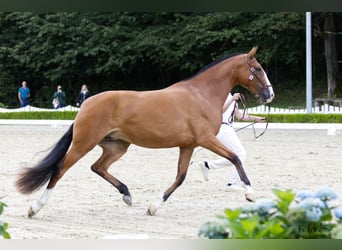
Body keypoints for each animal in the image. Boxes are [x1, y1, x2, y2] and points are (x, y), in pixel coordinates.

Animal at [15, 47, 276, 217]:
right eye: (257, 68)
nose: (270, 94)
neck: (201, 94)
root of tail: (86, 104)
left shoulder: (188, 145)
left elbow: (180, 177)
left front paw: (153, 206)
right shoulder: (206, 139)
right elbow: (234, 157)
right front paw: (250, 194)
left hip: (117, 146)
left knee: (98, 167)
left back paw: (127, 195)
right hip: (83, 143)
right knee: (60, 169)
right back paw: (34, 208)